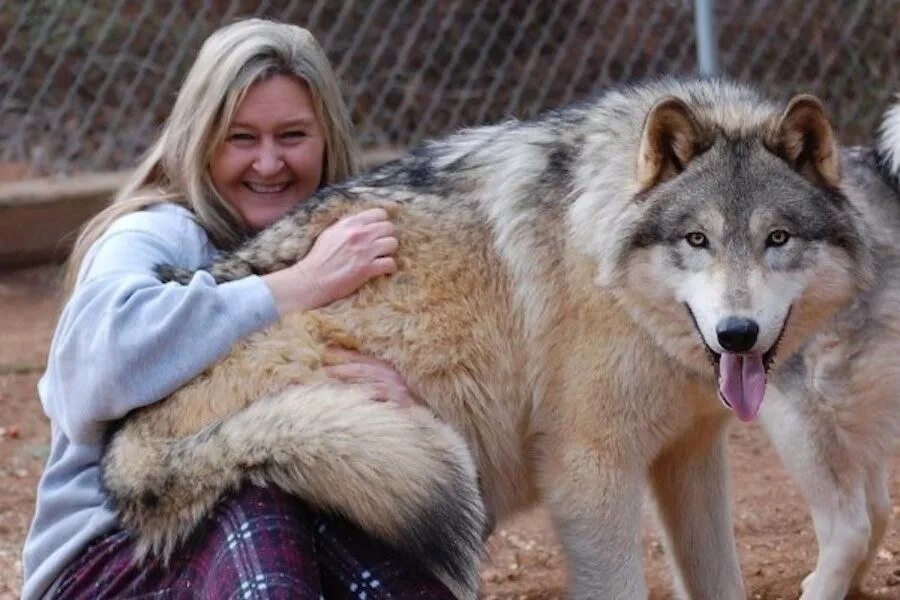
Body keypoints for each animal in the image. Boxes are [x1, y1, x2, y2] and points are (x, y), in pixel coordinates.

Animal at [100, 79, 872, 600]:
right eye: (697, 240)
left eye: (777, 239)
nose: (737, 334)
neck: (602, 262)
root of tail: (123, 445)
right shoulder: (589, 472)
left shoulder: (691, 456)